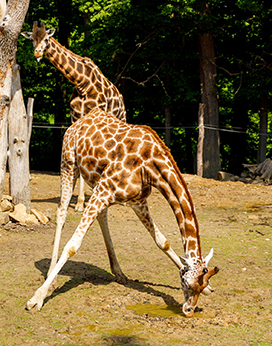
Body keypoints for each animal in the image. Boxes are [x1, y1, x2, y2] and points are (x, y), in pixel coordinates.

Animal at [21, 22, 126, 211]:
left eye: (46, 39)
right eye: (32, 38)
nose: (38, 54)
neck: (81, 83)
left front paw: (81, 202)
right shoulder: (75, 117)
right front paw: (75, 200)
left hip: (120, 119)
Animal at [26, 109, 219, 318]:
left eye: (202, 285)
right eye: (189, 284)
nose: (189, 310)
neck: (151, 164)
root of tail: (80, 120)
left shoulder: (136, 201)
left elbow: (162, 241)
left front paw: (210, 290)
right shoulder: (105, 190)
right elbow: (72, 245)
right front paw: (36, 299)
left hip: (94, 181)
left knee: (101, 216)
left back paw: (119, 273)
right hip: (68, 164)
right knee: (61, 212)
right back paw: (51, 274)